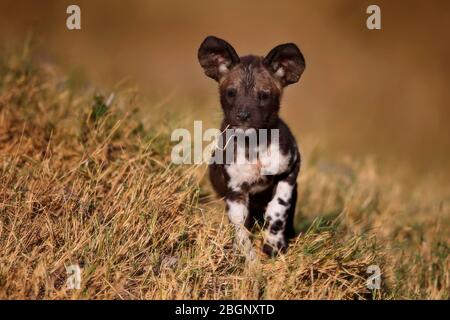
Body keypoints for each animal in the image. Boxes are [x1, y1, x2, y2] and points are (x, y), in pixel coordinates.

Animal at [198, 35, 306, 260]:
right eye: (231, 93)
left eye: (264, 95)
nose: (243, 115)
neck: (254, 147)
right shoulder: (236, 192)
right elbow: (240, 229)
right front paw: (249, 261)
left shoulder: (291, 170)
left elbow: (278, 208)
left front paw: (273, 244)